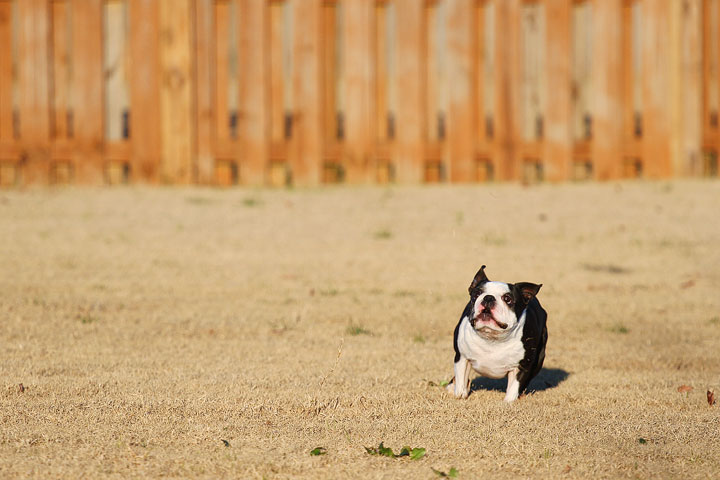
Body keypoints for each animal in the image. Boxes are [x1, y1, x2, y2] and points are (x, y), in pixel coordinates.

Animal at [444, 264, 544, 404]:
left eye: (507, 298)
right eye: (477, 293)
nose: (488, 297)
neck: (492, 338)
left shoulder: (522, 366)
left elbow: (514, 386)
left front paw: (508, 402)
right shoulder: (462, 357)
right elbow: (461, 380)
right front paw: (460, 393)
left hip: (538, 361)